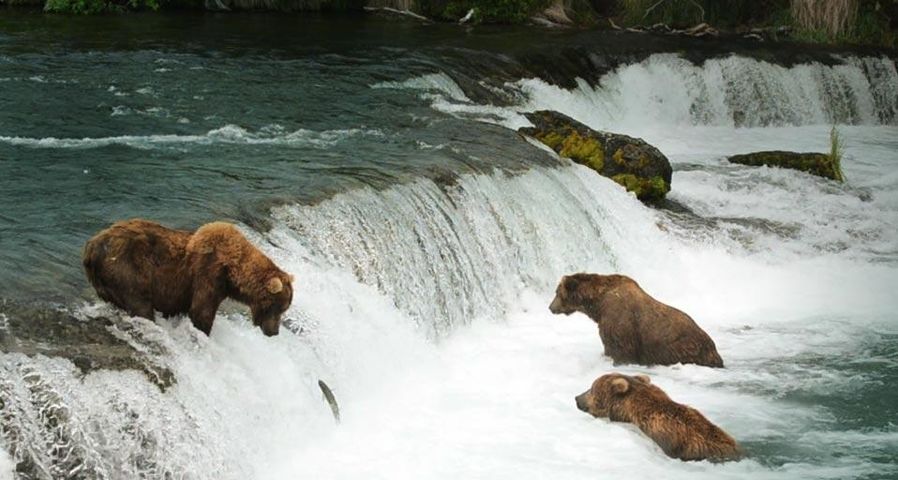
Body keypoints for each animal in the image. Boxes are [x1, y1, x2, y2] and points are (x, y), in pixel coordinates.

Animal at [80, 219, 290, 336]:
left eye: (284, 308)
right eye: (278, 307)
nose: (274, 332)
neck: (232, 272)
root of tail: (91, 247)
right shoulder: (208, 275)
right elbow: (201, 312)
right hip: (127, 268)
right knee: (140, 304)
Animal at [544, 274, 720, 368]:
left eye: (556, 292)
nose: (550, 307)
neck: (598, 304)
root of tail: (713, 349)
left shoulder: (618, 322)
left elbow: (619, 349)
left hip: (683, 348)